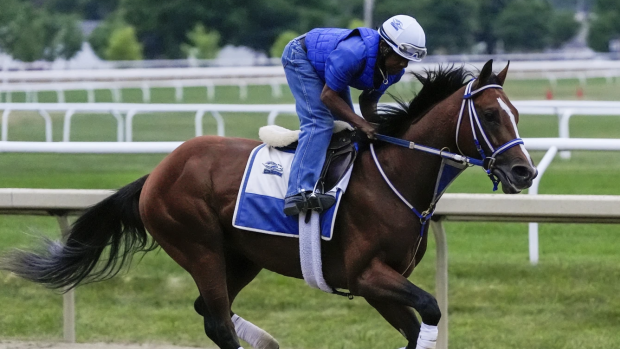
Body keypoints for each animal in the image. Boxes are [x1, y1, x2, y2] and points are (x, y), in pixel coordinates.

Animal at [1, 60, 536, 348]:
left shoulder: (379, 286)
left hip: (241, 256)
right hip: (197, 244)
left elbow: (416, 327)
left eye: (516, 112)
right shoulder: (366, 275)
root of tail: (158, 171)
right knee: (217, 320)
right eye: (491, 115)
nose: (524, 172)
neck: (396, 176)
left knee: (206, 309)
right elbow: (431, 308)